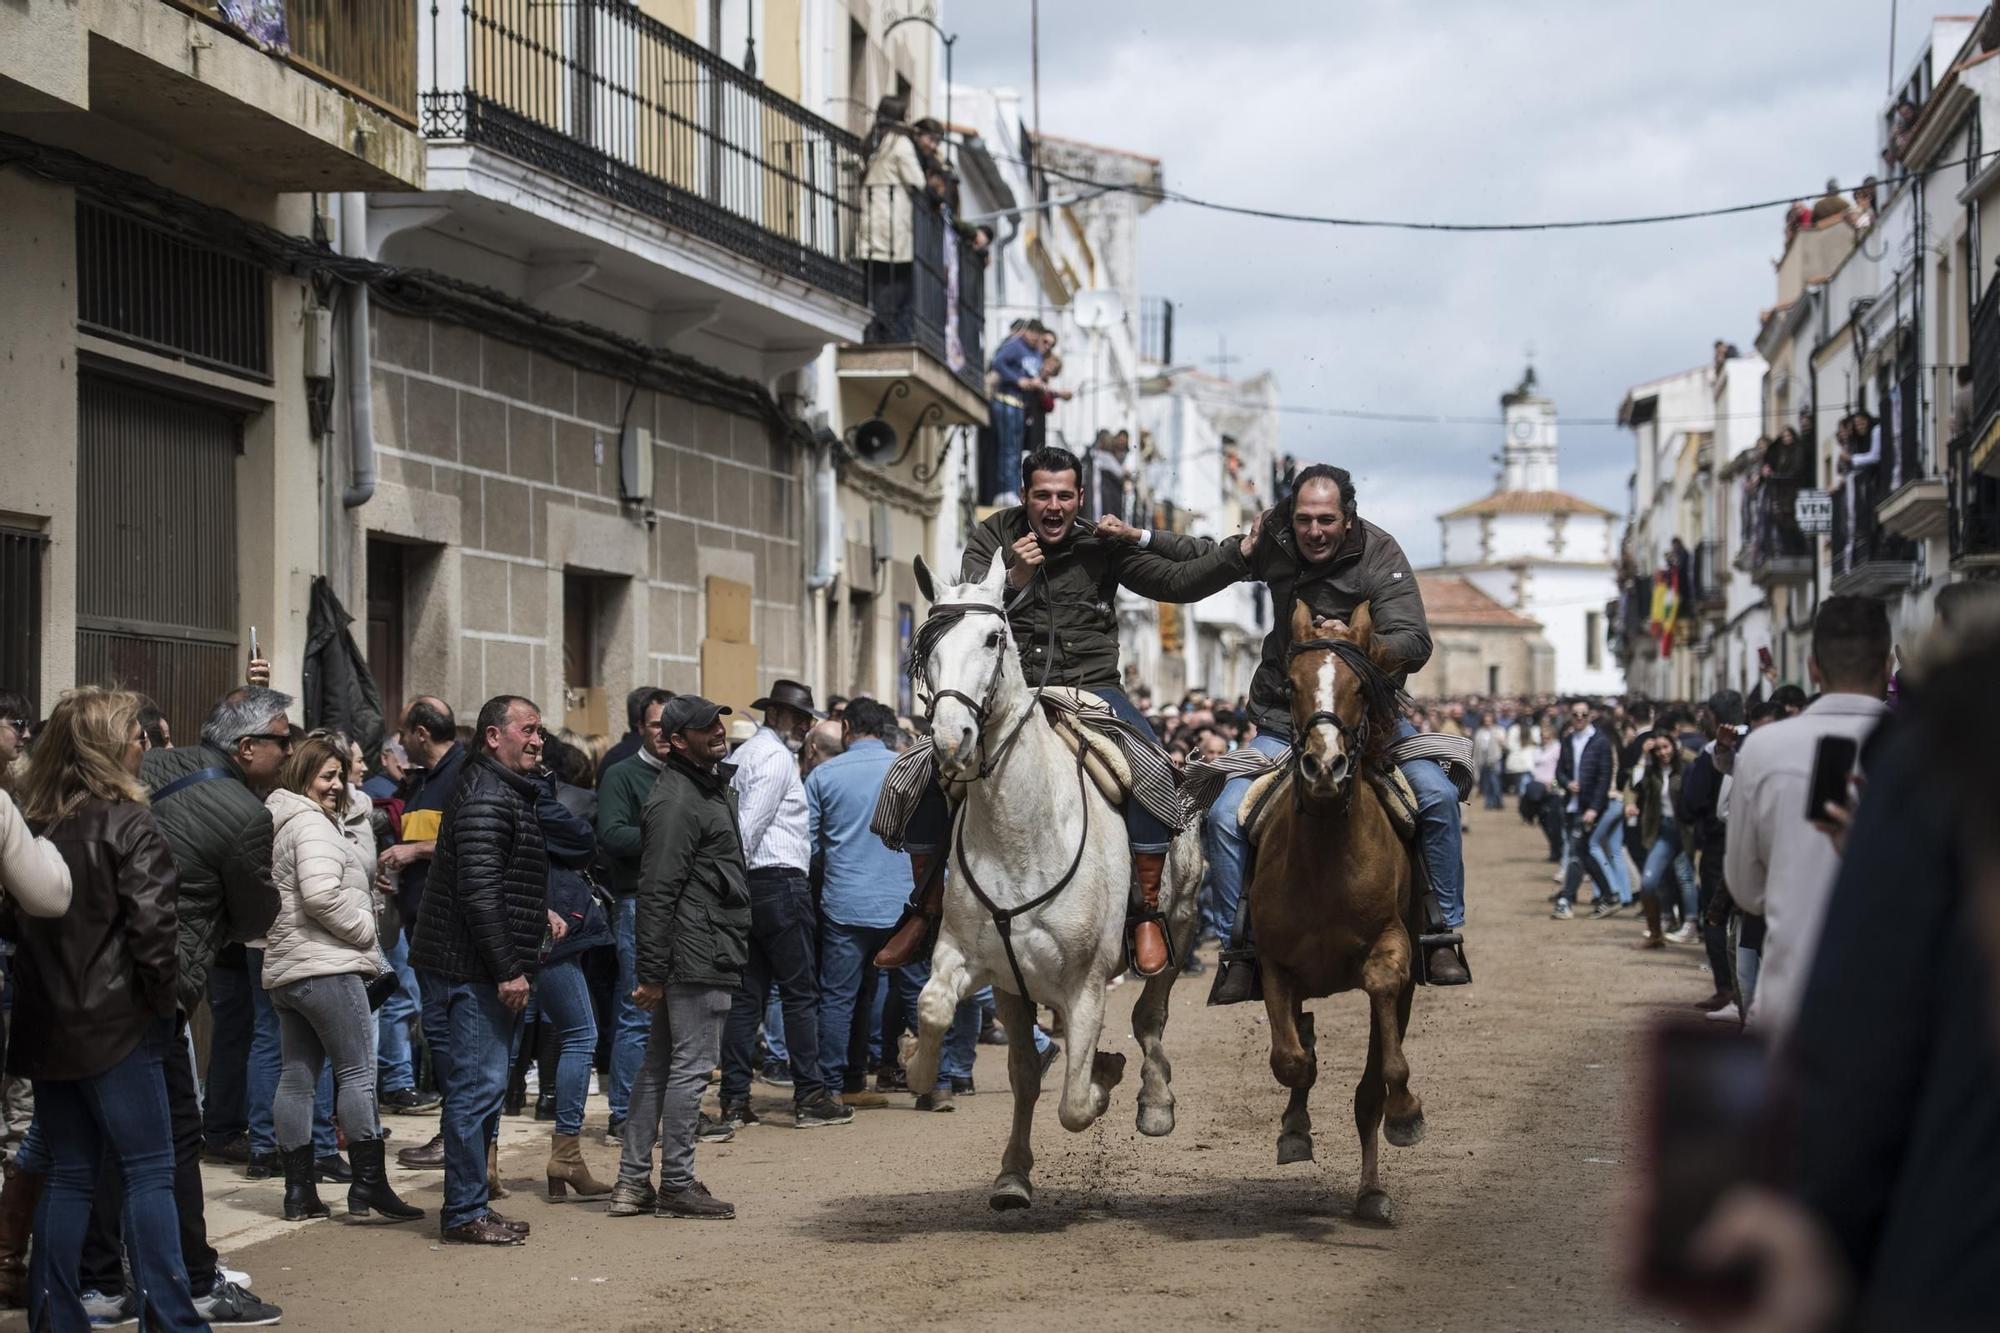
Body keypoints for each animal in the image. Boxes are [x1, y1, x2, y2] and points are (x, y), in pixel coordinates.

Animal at [904, 548, 1200, 1200]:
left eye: (994, 638)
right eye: (924, 643)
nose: (951, 739)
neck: (1020, 835)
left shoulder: (1086, 984)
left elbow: (1075, 1104)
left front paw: (1106, 1079)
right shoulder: (976, 963)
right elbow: (940, 1012)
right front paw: (920, 1071)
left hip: (1180, 923)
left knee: (1150, 1016)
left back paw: (1154, 1102)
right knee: (1032, 1066)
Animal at [1248, 596, 1424, 1216]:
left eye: (1359, 687)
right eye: (1292, 685)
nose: (1325, 767)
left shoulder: (1393, 948)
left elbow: (1379, 1062)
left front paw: (1405, 1112)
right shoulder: (1274, 963)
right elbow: (1291, 1060)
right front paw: (1295, 1128)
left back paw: (1372, 1191)